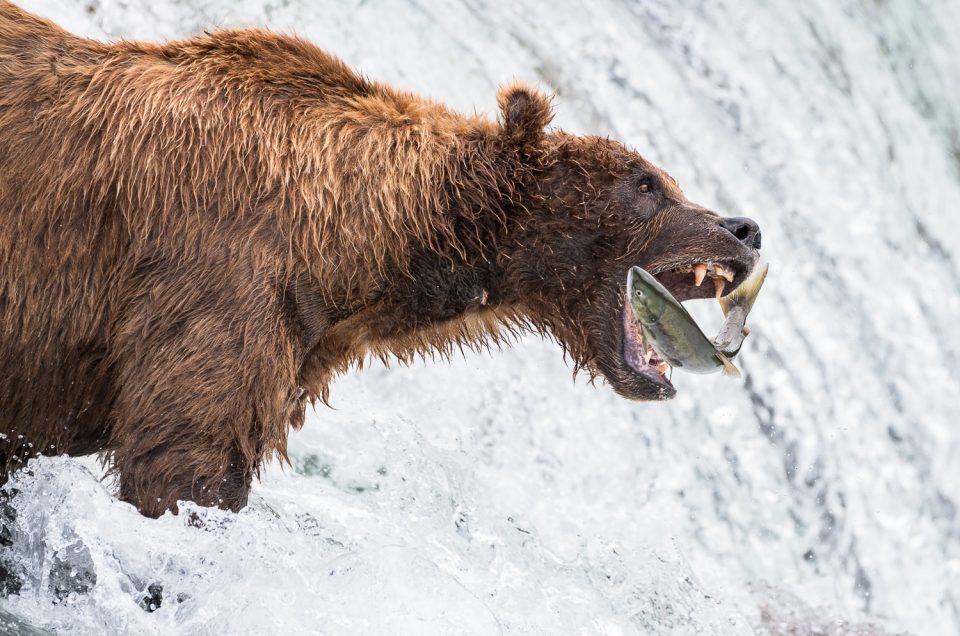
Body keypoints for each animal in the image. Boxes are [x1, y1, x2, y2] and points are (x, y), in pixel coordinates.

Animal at [3, 1, 760, 516]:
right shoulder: (221, 275)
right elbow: (186, 461)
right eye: (647, 182)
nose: (744, 227)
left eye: (669, 178)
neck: (361, 246)